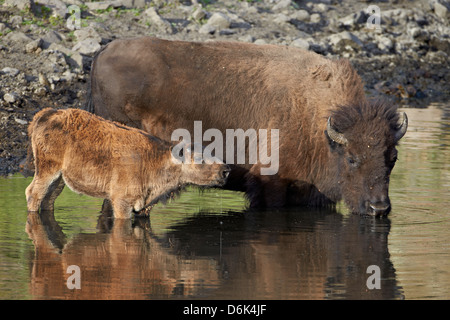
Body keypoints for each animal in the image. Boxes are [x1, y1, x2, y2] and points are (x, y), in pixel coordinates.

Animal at [25, 107, 230, 218]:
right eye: (200, 158)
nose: (226, 170)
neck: (154, 160)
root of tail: (47, 113)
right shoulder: (121, 201)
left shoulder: (145, 206)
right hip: (47, 169)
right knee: (34, 192)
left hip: (60, 177)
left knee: (48, 198)